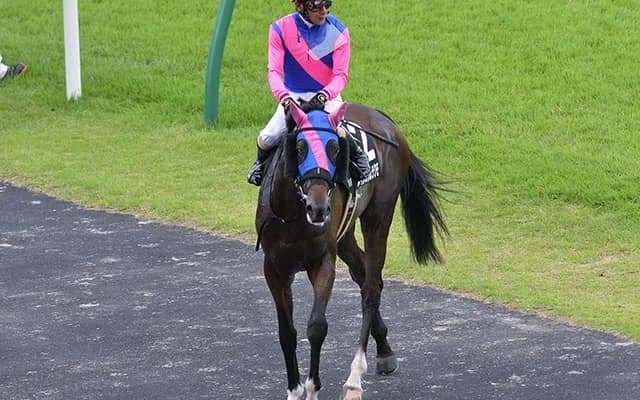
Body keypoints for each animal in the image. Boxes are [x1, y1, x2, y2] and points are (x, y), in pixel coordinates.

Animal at [254, 101, 447, 400]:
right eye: (300, 148)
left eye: (336, 149)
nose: (319, 207)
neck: (294, 215)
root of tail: (384, 118)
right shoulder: (274, 268)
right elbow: (287, 332)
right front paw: (294, 390)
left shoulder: (322, 262)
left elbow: (316, 327)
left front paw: (312, 388)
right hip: (345, 234)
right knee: (363, 274)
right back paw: (384, 351)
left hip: (378, 217)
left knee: (370, 289)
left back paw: (355, 380)